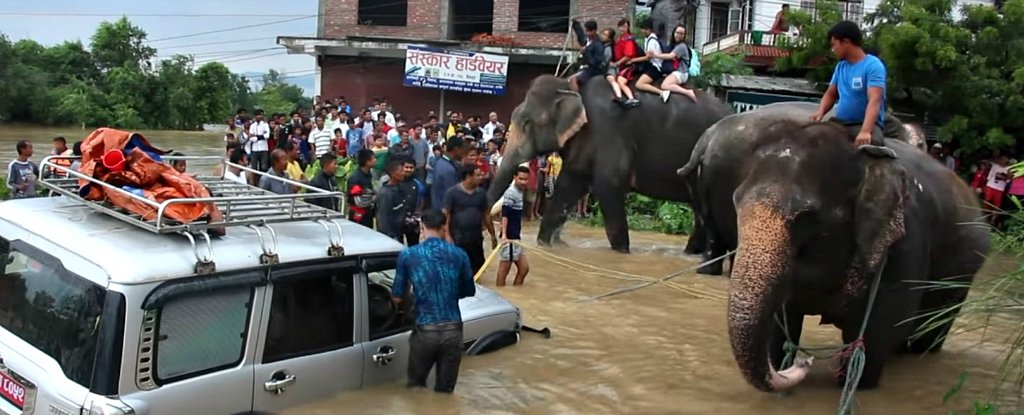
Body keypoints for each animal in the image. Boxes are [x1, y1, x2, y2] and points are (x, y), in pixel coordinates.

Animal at [489, 75, 737, 254]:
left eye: (527, 123)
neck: (570, 85)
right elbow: (568, 187)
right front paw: (545, 245)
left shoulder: (609, 131)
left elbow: (609, 185)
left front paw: (622, 252)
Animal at [675, 103, 987, 391]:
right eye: (737, 203)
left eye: (808, 216)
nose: (805, 361)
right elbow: (780, 324)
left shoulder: (905, 244)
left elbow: (873, 339)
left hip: (961, 278)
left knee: (929, 334)